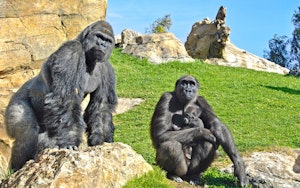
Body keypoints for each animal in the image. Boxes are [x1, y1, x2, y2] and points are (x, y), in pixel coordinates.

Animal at [4, 19, 117, 171]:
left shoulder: (106, 68)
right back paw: (16, 169)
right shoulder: (71, 51)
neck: (89, 58)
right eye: (99, 36)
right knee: (27, 132)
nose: (102, 45)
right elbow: (66, 98)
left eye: (108, 40)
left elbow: (101, 106)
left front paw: (101, 139)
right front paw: (70, 141)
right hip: (15, 102)